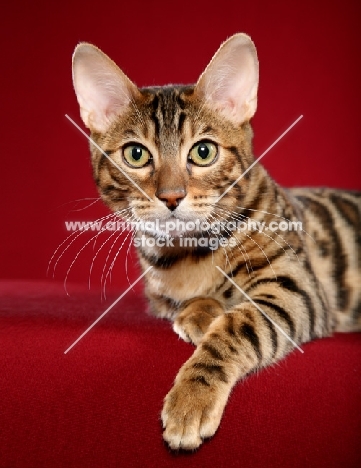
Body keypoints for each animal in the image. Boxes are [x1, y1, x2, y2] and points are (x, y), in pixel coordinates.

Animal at [71, 33, 360, 450]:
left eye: (203, 152)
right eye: (136, 154)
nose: (171, 197)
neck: (190, 250)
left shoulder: (298, 287)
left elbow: (239, 325)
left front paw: (193, 394)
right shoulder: (158, 291)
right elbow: (189, 300)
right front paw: (201, 310)